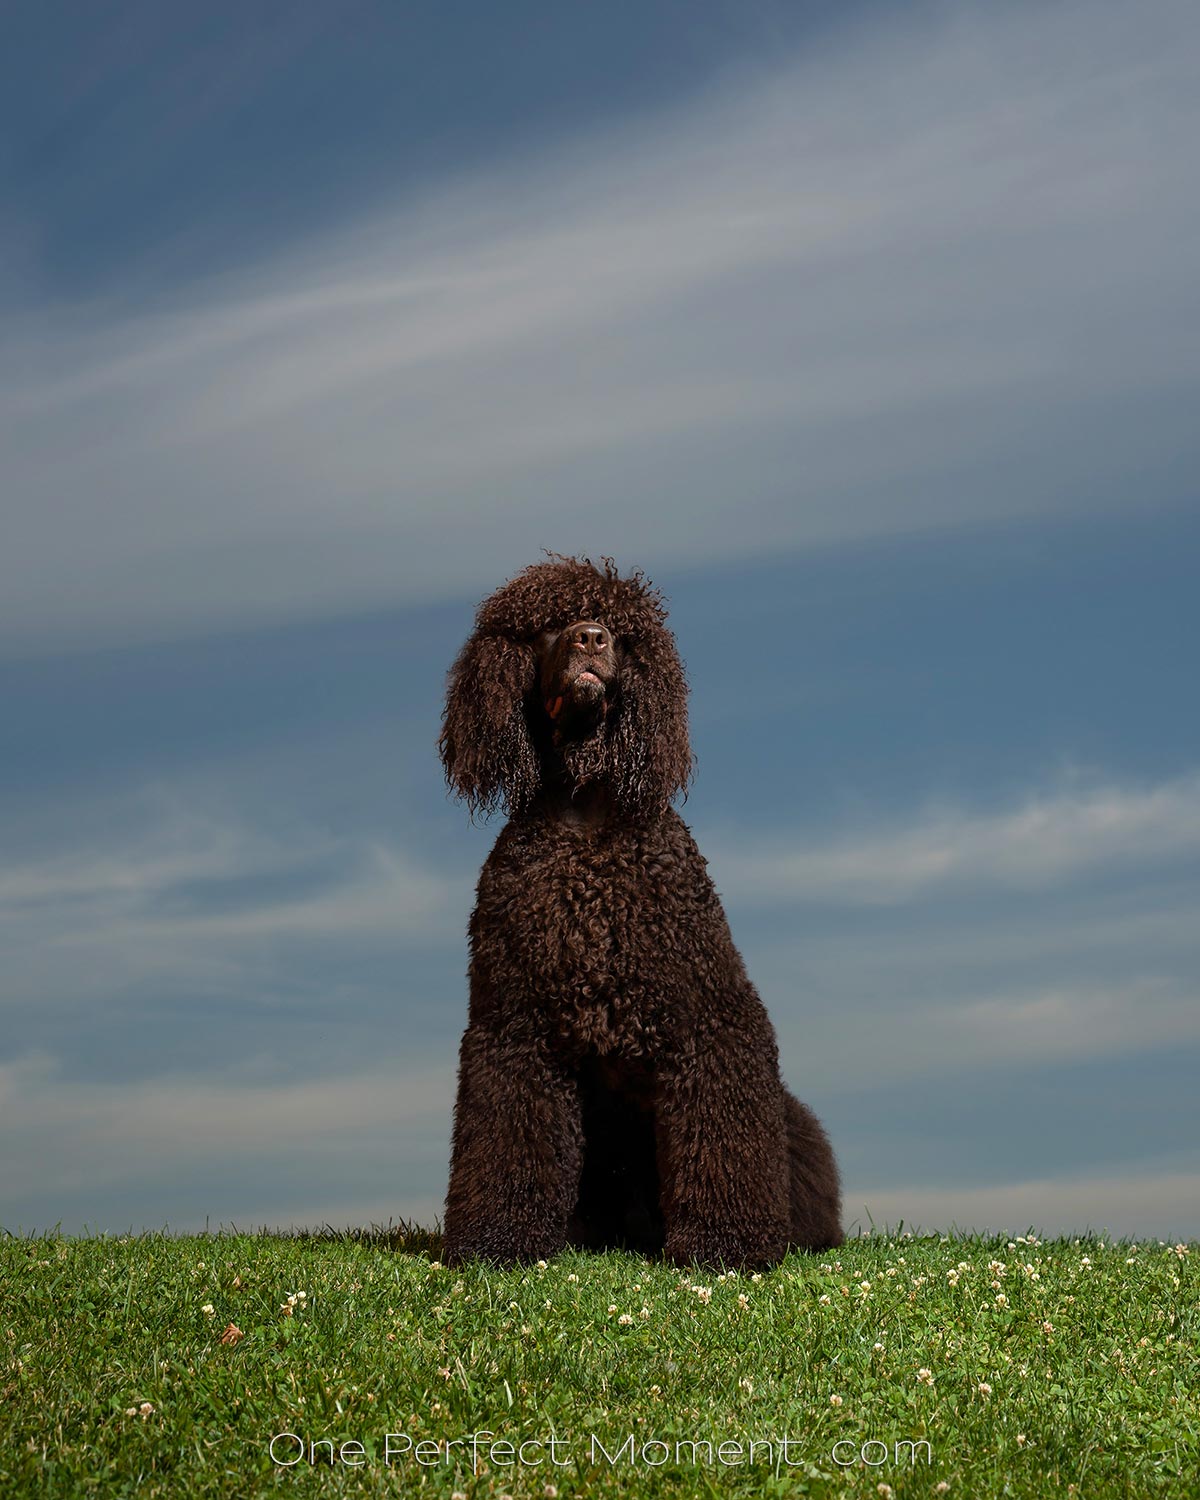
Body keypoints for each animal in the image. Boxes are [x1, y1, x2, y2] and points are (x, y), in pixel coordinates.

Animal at [441, 555, 846, 1266]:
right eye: (546, 626)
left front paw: (725, 1246)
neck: (587, 821)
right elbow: (508, 1138)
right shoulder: (512, 1029)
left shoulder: (709, 1019)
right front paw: (498, 1241)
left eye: (623, 634)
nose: (591, 638)